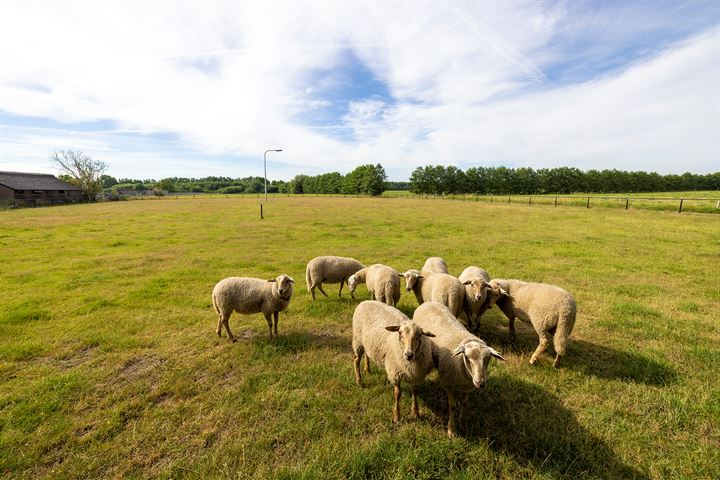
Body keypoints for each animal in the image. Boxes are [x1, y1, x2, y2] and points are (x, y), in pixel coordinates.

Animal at [410, 302, 506, 440]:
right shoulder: (449, 384)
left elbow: (464, 403)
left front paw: (463, 424)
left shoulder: (467, 387)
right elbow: (453, 406)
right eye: (467, 357)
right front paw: (452, 430)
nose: (480, 383)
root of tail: (428, 302)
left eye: (488, 359)